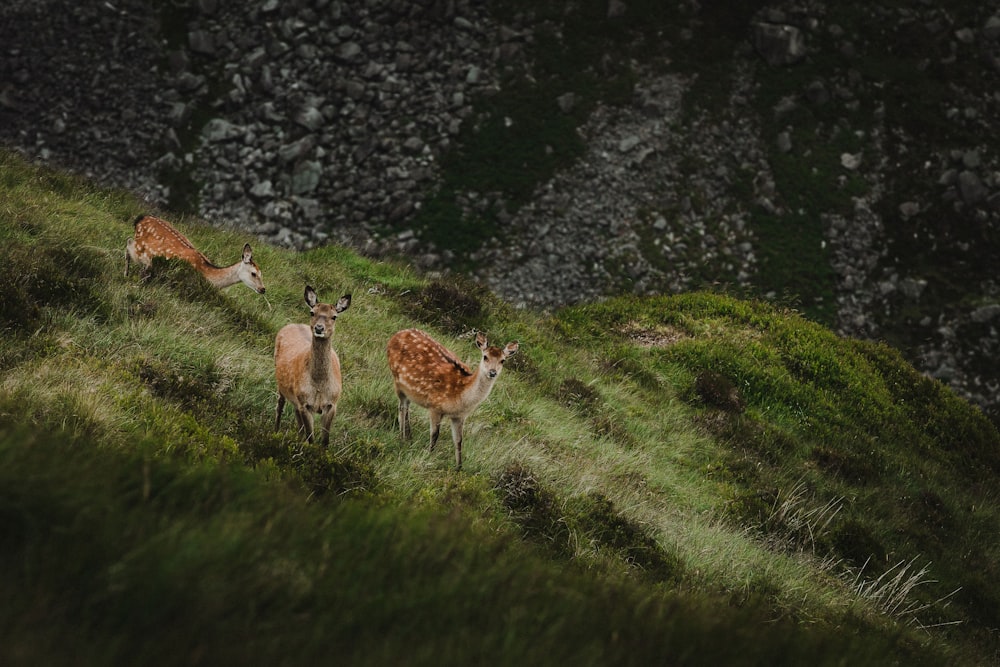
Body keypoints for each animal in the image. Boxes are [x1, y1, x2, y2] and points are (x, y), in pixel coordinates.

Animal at [123, 215, 266, 294]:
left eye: (261, 274)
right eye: (253, 273)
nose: (263, 289)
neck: (206, 273)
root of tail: (140, 219)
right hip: (142, 250)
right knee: (129, 244)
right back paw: (126, 274)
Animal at [274, 284, 352, 446]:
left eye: (334, 316)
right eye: (312, 312)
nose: (319, 328)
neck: (320, 386)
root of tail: (292, 324)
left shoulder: (332, 404)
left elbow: (324, 441)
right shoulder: (305, 404)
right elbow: (310, 439)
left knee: (296, 416)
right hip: (281, 385)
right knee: (279, 406)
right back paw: (275, 432)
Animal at [386, 328, 520, 470]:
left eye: (503, 360)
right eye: (485, 356)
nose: (492, 372)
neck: (460, 397)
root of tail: (397, 334)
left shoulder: (459, 416)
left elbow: (459, 440)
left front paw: (459, 468)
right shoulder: (435, 406)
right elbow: (435, 434)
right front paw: (429, 455)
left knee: (406, 409)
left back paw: (408, 436)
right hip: (397, 381)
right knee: (402, 408)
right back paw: (402, 438)